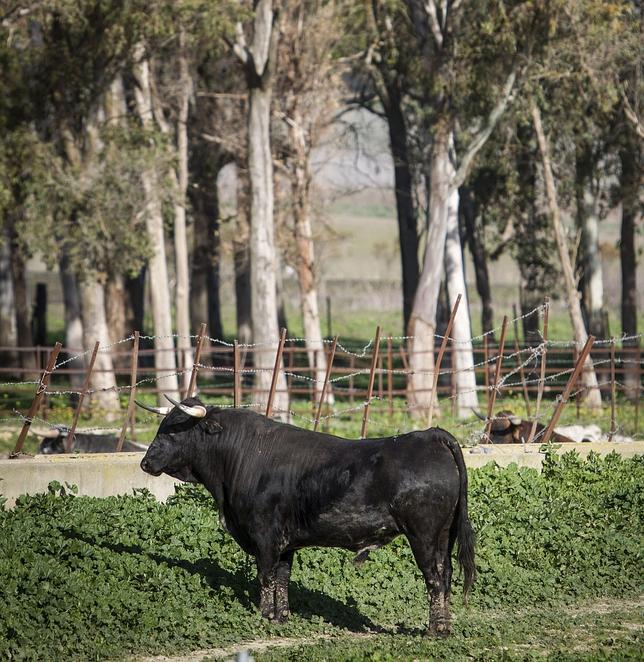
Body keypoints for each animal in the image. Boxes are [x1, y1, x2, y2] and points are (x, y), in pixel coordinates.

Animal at [140, 396, 472, 636]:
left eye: (174, 429)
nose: (145, 462)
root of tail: (430, 435)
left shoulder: (264, 537)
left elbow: (265, 576)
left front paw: (264, 616)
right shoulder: (286, 543)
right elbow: (282, 578)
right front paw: (281, 617)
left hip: (423, 535)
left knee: (434, 578)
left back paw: (434, 630)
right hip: (443, 536)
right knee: (446, 575)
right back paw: (445, 627)